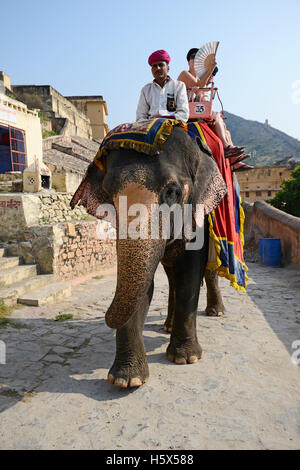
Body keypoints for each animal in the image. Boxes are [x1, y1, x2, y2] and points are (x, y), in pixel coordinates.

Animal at [71, 126, 227, 388]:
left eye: (173, 192)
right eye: (109, 195)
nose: (106, 317)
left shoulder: (198, 215)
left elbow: (190, 272)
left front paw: (186, 358)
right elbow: (144, 282)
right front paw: (126, 380)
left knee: (207, 271)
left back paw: (217, 313)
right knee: (171, 277)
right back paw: (168, 326)